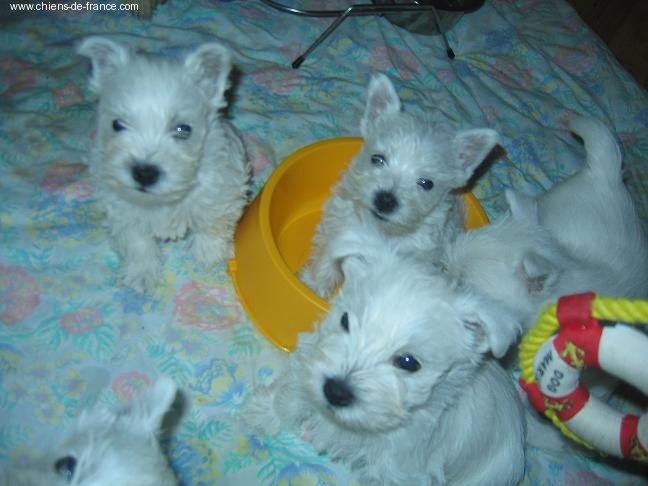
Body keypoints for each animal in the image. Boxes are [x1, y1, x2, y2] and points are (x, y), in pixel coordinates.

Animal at [78, 37, 250, 293]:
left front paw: (210, 255)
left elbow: (211, 222)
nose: (144, 173)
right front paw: (141, 274)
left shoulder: (220, 190)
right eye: (117, 124)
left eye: (183, 129)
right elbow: (137, 242)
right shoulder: (122, 209)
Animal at [244, 248, 526, 485]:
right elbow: (291, 396)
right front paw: (263, 412)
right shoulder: (313, 360)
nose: (335, 392)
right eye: (345, 320)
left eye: (409, 362)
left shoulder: (399, 472)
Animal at [298, 73, 499, 299]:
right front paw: (312, 286)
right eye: (377, 159)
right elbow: (326, 262)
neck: (381, 230)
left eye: (426, 183)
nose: (385, 200)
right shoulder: (339, 227)